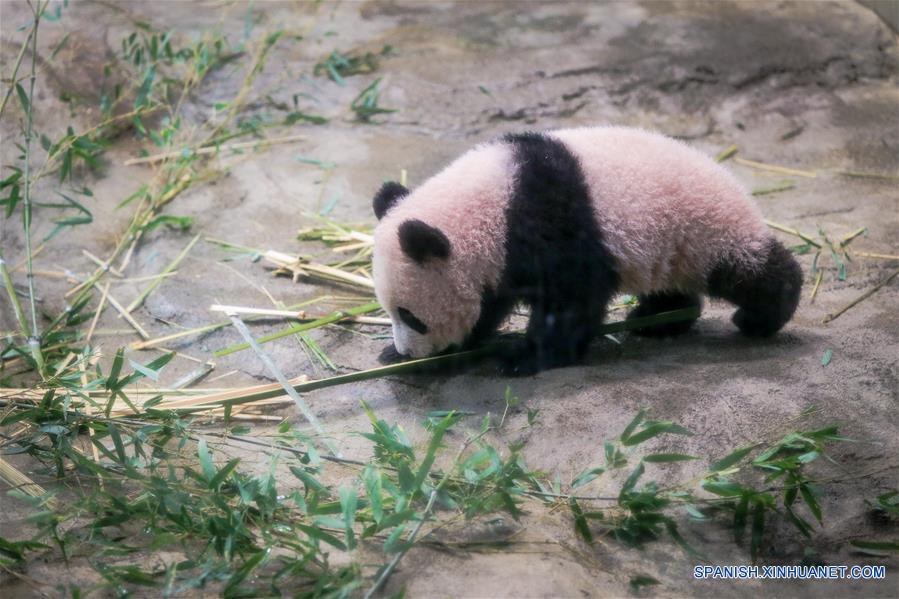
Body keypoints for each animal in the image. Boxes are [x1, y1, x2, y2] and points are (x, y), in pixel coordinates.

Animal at [371, 126, 802, 375]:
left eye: (411, 316)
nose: (409, 351)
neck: (497, 202)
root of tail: (735, 184)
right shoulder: (499, 261)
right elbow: (487, 306)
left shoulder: (552, 223)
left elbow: (571, 299)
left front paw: (522, 357)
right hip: (673, 249)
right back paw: (658, 320)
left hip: (706, 229)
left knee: (748, 270)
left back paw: (762, 316)